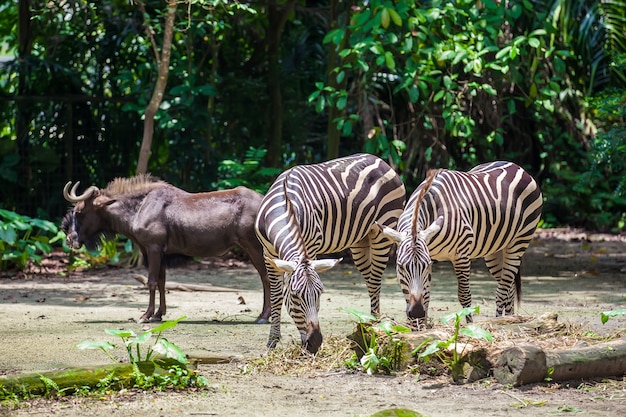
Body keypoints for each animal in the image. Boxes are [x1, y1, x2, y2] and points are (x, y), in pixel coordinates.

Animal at [254, 154, 404, 352]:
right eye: (294, 297)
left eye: (320, 294)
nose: (315, 342)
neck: (285, 204)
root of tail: (380, 160)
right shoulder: (268, 253)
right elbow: (277, 295)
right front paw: (272, 341)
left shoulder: (310, 247)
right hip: (359, 241)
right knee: (370, 281)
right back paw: (369, 326)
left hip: (383, 231)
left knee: (376, 280)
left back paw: (375, 327)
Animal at [376, 159, 540, 324]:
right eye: (400, 267)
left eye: (426, 265)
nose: (416, 312)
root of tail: (515, 165)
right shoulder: (429, 254)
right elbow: (425, 296)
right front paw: (418, 326)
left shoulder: (461, 255)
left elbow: (464, 296)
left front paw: (470, 326)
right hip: (495, 250)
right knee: (509, 289)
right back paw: (510, 319)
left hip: (519, 241)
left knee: (503, 290)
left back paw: (498, 321)